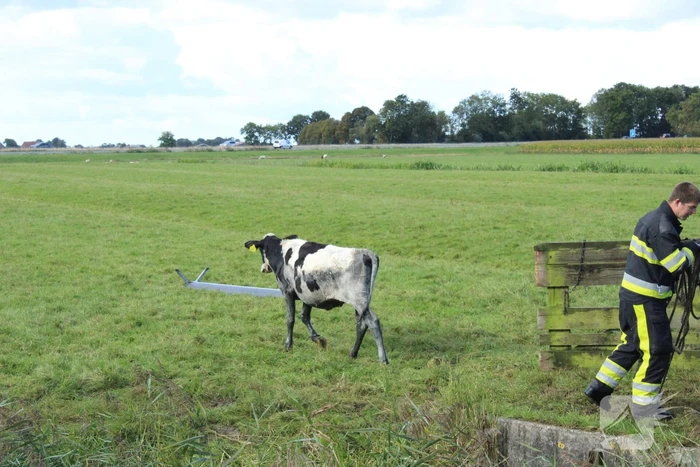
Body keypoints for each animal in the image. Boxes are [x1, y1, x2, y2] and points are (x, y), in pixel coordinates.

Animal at [244, 233, 388, 364]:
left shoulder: (288, 292)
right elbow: (304, 316)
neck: (281, 253)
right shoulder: (307, 296)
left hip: (359, 301)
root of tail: (365, 253)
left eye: (261, 251)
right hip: (361, 304)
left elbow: (290, 319)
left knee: (373, 322)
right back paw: (353, 354)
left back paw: (383, 360)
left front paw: (288, 345)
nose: (264, 268)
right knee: (362, 325)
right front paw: (318, 340)